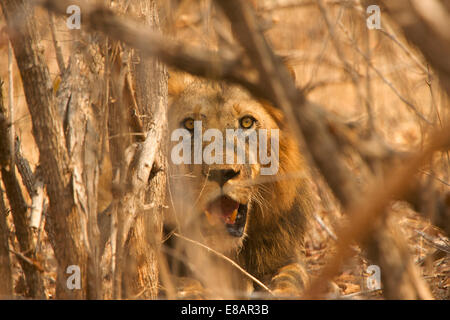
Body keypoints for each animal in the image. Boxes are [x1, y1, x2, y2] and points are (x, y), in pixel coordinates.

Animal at [166, 74, 316, 298]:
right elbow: (182, 284)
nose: (221, 172)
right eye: (190, 124)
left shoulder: (285, 256)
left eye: (247, 122)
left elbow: (293, 277)